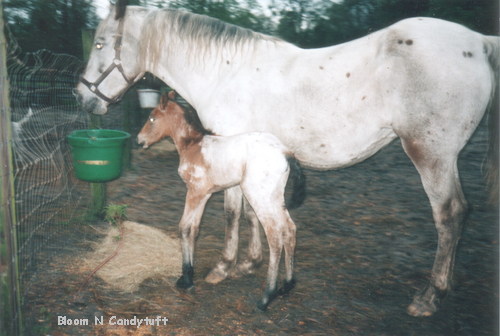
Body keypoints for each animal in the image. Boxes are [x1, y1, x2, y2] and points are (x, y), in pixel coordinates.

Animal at [139, 91, 306, 310]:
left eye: (152, 118)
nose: (139, 140)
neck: (193, 145)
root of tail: (285, 153)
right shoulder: (204, 194)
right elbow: (194, 229)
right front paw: (187, 276)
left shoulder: (193, 192)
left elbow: (183, 227)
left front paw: (186, 280)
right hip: (275, 196)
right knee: (289, 229)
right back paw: (287, 285)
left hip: (258, 197)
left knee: (275, 236)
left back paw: (266, 297)